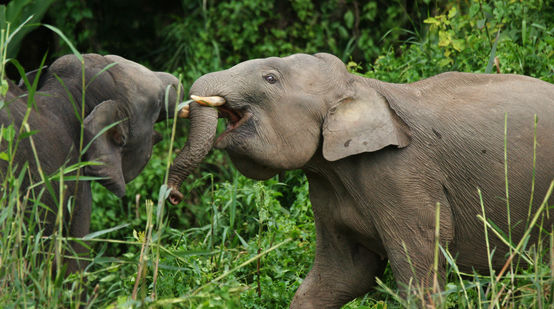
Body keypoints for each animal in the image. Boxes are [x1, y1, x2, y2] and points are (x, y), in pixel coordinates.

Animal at [168, 52, 552, 306]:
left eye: (270, 79)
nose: (172, 195)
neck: (360, 85)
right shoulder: (326, 183)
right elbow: (341, 275)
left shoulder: (403, 176)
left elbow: (419, 271)